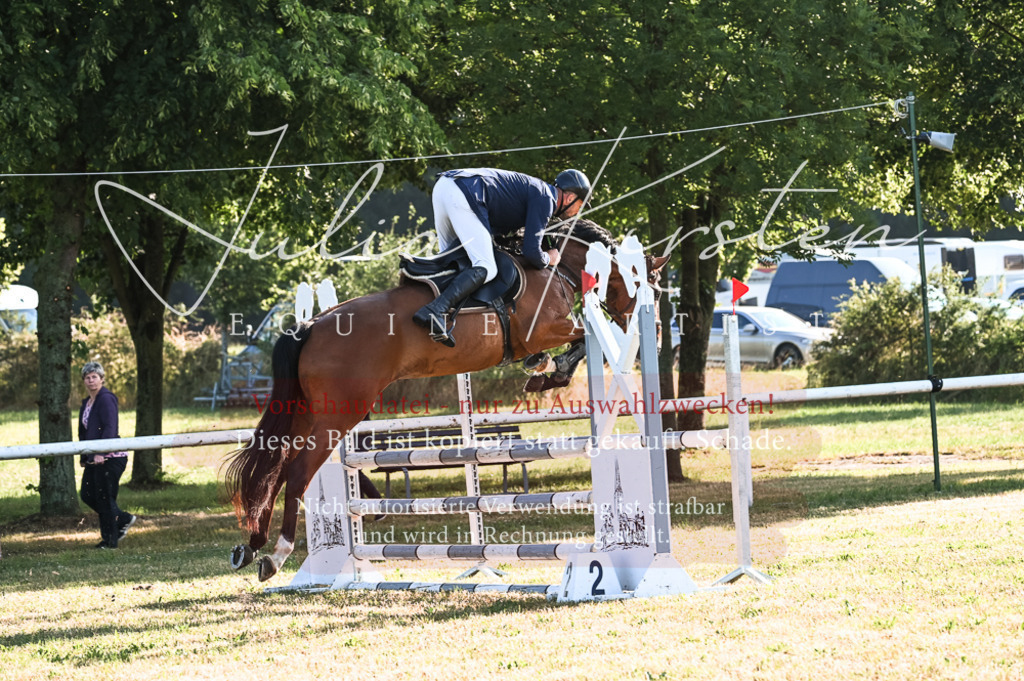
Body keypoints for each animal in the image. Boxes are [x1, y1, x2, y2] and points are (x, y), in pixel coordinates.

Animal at [224, 218, 668, 581]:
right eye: (653, 288)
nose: (660, 335)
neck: (556, 267)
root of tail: (310, 324)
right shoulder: (548, 328)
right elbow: (577, 339)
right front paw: (547, 373)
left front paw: (542, 371)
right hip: (338, 415)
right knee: (298, 472)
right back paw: (277, 554)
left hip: (306, 413)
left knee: (275, 469)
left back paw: (253, 546)